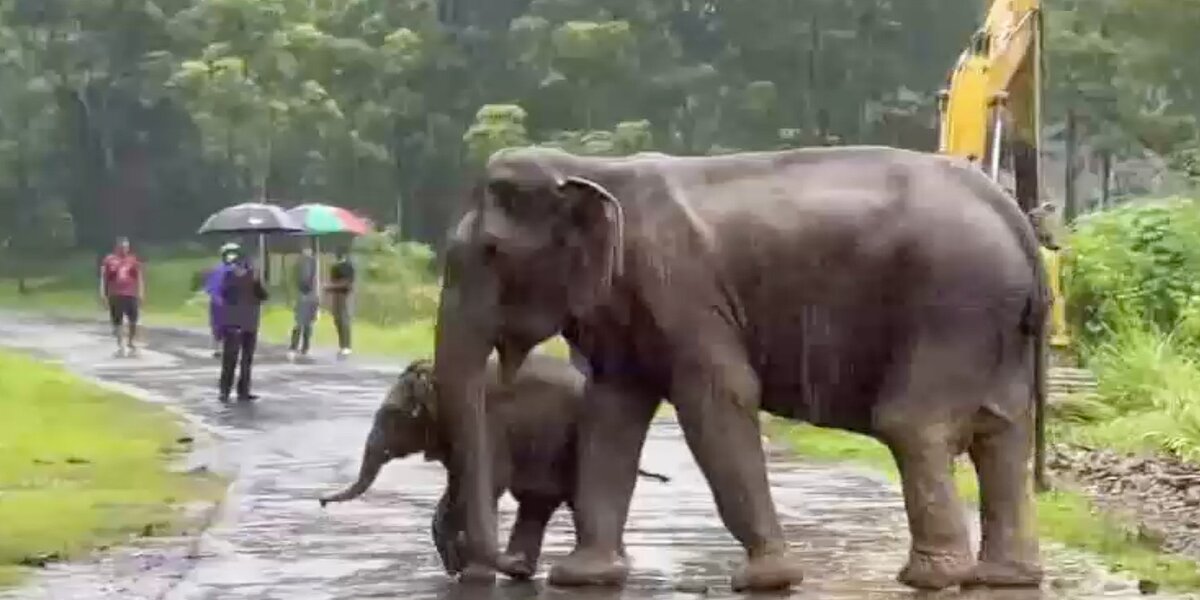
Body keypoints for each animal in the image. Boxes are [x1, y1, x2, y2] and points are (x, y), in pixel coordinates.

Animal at [319, 352, 672, 578]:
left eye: (393, 416)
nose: (321, 502)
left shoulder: (487, 425)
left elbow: (486, 483)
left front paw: (468, 572)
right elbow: (460, 485)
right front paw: (460, 567)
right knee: (536, 505)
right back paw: (523, 570)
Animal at [436, 144, 1046, 590]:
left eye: (491, 252)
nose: (514, 569)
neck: (590, 170)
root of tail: (1015, 216)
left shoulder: (683, 290)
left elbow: (719, 399)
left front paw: (766, 579)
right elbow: (612, 413)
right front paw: (583, 577)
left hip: (953, 305)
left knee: (913, 423)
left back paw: (930, 578)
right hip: (995, 324)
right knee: (1002, 428)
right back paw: (1005, 578)